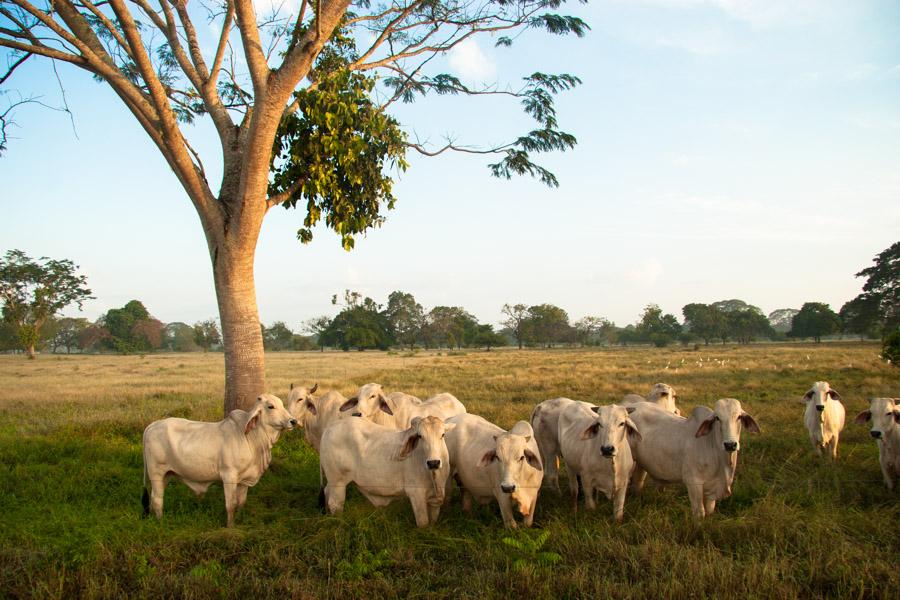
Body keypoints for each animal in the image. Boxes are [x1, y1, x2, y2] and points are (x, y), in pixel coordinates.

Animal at [141, 396, 296, 528]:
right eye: (271, 406)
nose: (293, 421)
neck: (252, 437)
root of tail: (152, 425)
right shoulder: (229, 476)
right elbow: (231, 504)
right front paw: (230, 527)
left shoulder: (244, 480)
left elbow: (241, 503)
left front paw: (239, 519)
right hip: (156, 472)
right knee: (157, 499)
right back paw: (160, 522)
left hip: (167, 474)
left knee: (154, 496)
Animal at [318, 414, 458, 528]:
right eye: (420, 436)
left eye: (443, 435)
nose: (433, 463)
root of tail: (329, 428)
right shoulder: (416, 495)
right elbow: (423, 523)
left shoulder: (435, 501)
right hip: (338, 482)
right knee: (335, 504)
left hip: (332, 482)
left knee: (327, 492)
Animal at [624, 396, 760, 516]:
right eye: (717, 418)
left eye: (739, 417)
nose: (730, 444)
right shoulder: (693, 483)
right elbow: (699, 512)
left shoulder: (711, 491)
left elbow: (709, 510)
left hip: (641, 464)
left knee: (637, 483)